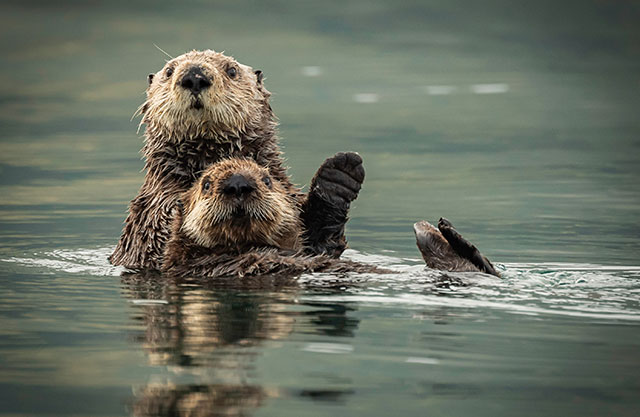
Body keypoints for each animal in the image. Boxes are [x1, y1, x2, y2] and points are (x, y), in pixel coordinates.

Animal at [110, 49, 364, 270]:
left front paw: (338, 175)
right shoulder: (152, 212)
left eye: (231, 70)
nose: (194, 76)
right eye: (169, 71)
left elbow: (319, 243)